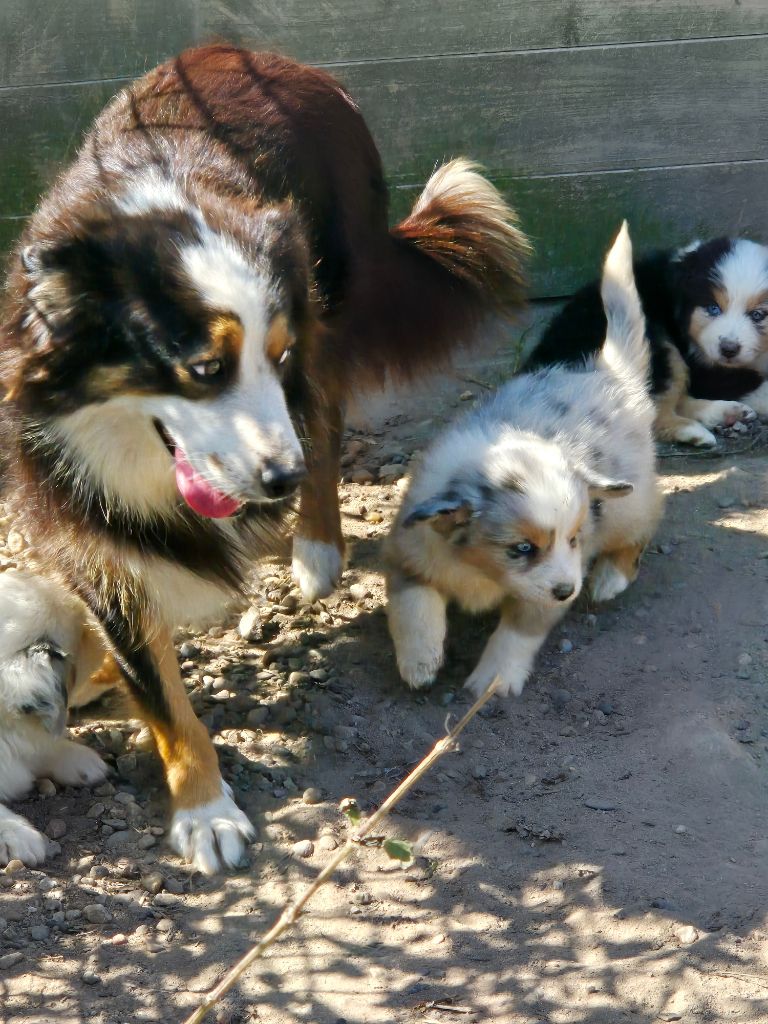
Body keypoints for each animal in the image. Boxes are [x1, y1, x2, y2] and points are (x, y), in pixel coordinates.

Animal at [387, 224, 663, 700]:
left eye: (573, 540)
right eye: (522, 549)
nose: (567, 590)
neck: (480, 571)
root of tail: (610, 374)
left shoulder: (542, 598)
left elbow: (515, 635)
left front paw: (491, 682)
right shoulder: (406, 554)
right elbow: (413, 604)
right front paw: (420, 663)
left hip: (629, 504)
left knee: (643, 528)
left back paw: (610, 578)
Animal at [528, 241, 768, 450]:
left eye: (758, 315)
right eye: (713, 308)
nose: (728, 349)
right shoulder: (707, 370)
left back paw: (727, 412)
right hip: (656, 343)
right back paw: (693, 430)